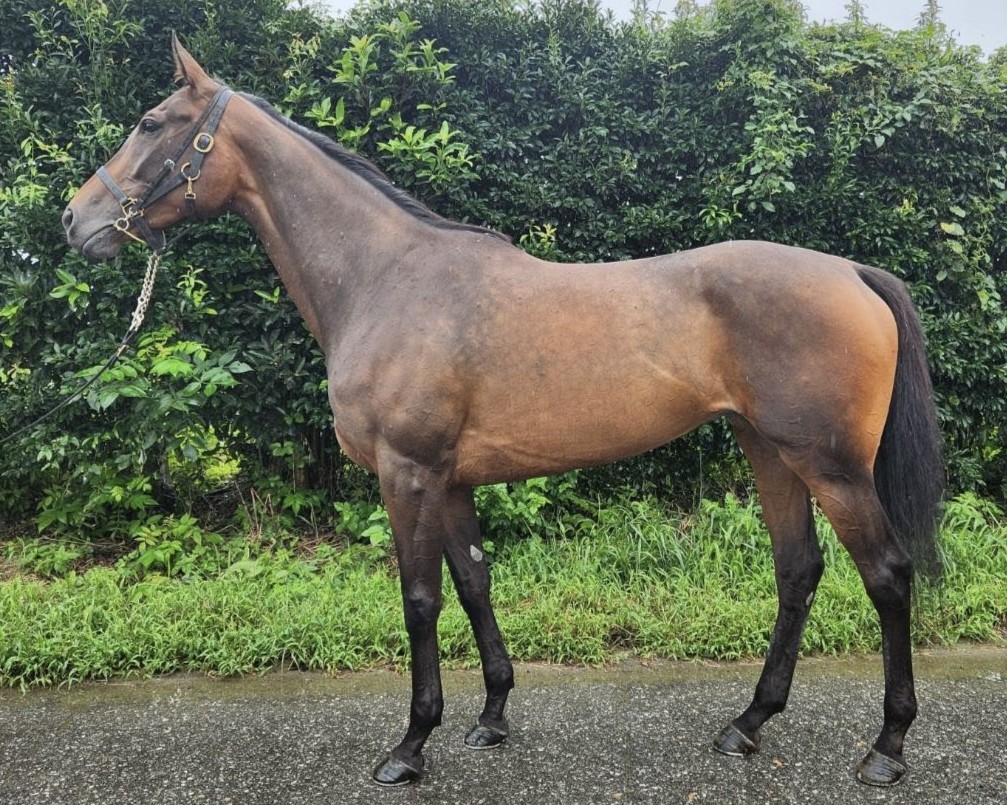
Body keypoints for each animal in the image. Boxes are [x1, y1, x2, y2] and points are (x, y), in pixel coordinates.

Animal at [62, 34, 944, 788]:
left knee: (886, 574)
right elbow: (474, 581)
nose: (75, 219)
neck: (386, 278)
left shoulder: (407, 473)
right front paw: (489, 715)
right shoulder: (450, 479)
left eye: (150, 122)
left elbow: (419, 599)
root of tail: (851, 272)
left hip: (830, 465)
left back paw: (886, 746)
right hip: (768, 450)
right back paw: (747, 722)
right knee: (797, 570)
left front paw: (410, 745)